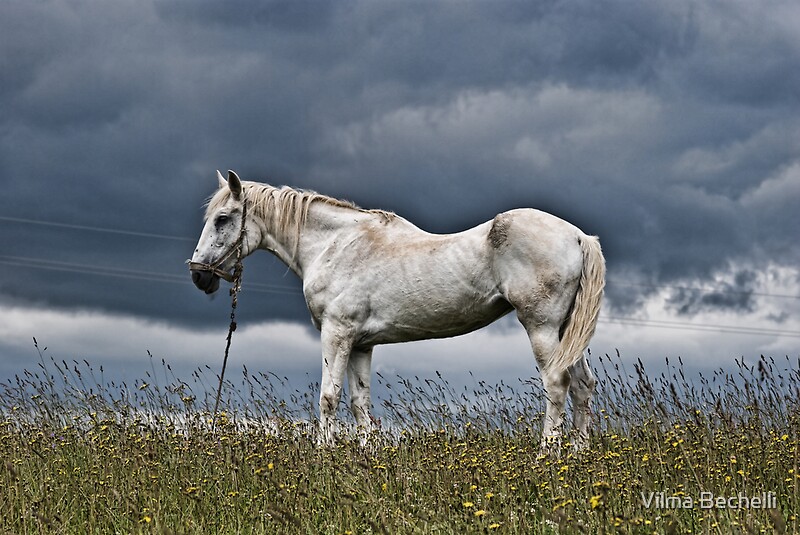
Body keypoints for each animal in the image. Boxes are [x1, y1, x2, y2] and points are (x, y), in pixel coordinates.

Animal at [189, 170, 605, 449]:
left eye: (222, 219)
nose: (198, 275)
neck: (335, 245)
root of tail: (579, 237)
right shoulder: (360, 344)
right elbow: (359, 403)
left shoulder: (336, 334)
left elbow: (328, 396)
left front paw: (323, 454)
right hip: (566, 333)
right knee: (582, 386)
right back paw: (577, 455)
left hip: (542, 328)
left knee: (557, 383)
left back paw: (547, 454)